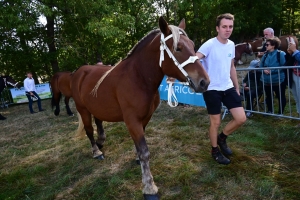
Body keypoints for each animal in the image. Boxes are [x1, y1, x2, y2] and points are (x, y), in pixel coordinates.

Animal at [71, 16, 210, 198]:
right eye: (178, 48)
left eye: (193, 46)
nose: (204, 82)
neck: (138, 77)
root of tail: (79, 72)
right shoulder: (132, 120)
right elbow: (144, 151)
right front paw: (149, 187)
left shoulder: (145, 117)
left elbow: (140, 147)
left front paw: (137, 159)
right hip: (83, 109)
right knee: (88, 130)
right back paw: (96, 152)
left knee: (99, 123)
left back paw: (101, 142)